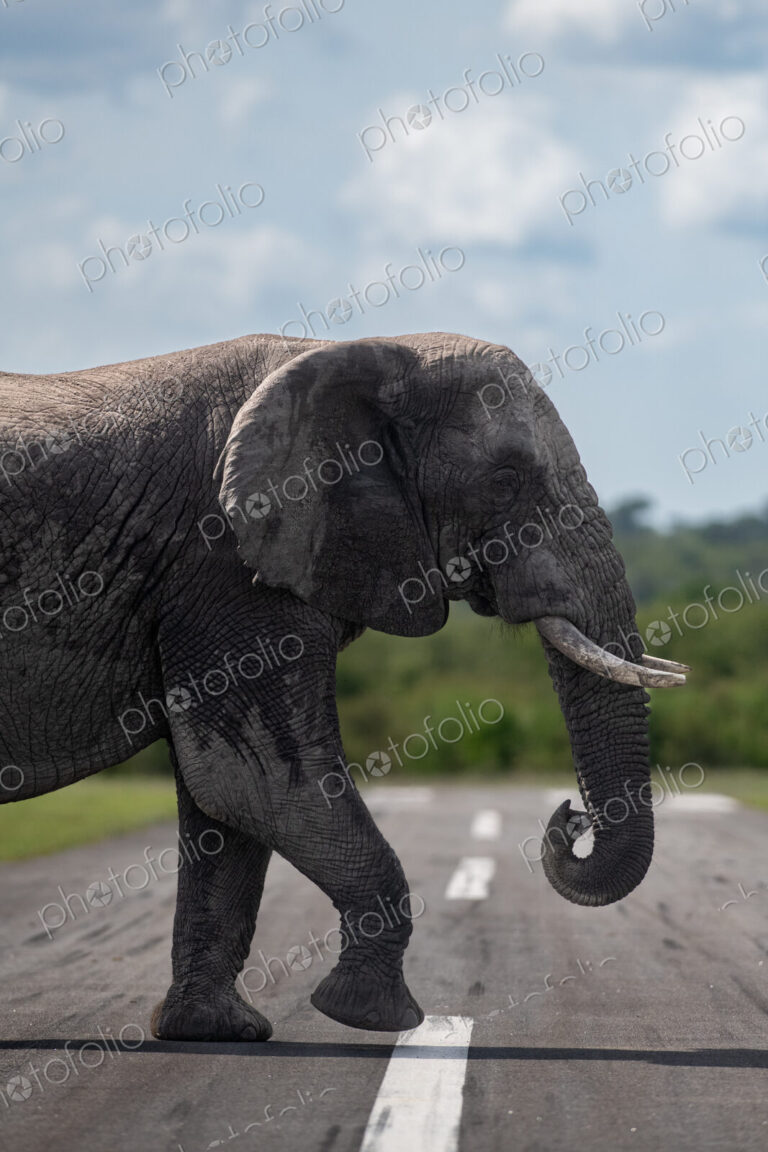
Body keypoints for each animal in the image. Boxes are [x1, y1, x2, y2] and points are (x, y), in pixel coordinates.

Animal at [0, 331, 688, 1041]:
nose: (569, 816)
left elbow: (224, 803)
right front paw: (371, 1015)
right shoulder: (224, 564)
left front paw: (217, 1031)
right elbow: (259, 784)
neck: (357, 352)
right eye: (505, 482)